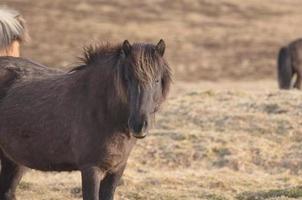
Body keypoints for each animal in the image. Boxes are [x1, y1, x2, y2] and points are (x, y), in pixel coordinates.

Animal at [0, 39, 172, 200]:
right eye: (128, 79)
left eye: (156, 80)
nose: (139, 125)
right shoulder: (91, 169)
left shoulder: (116, 170)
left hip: (13, 160)